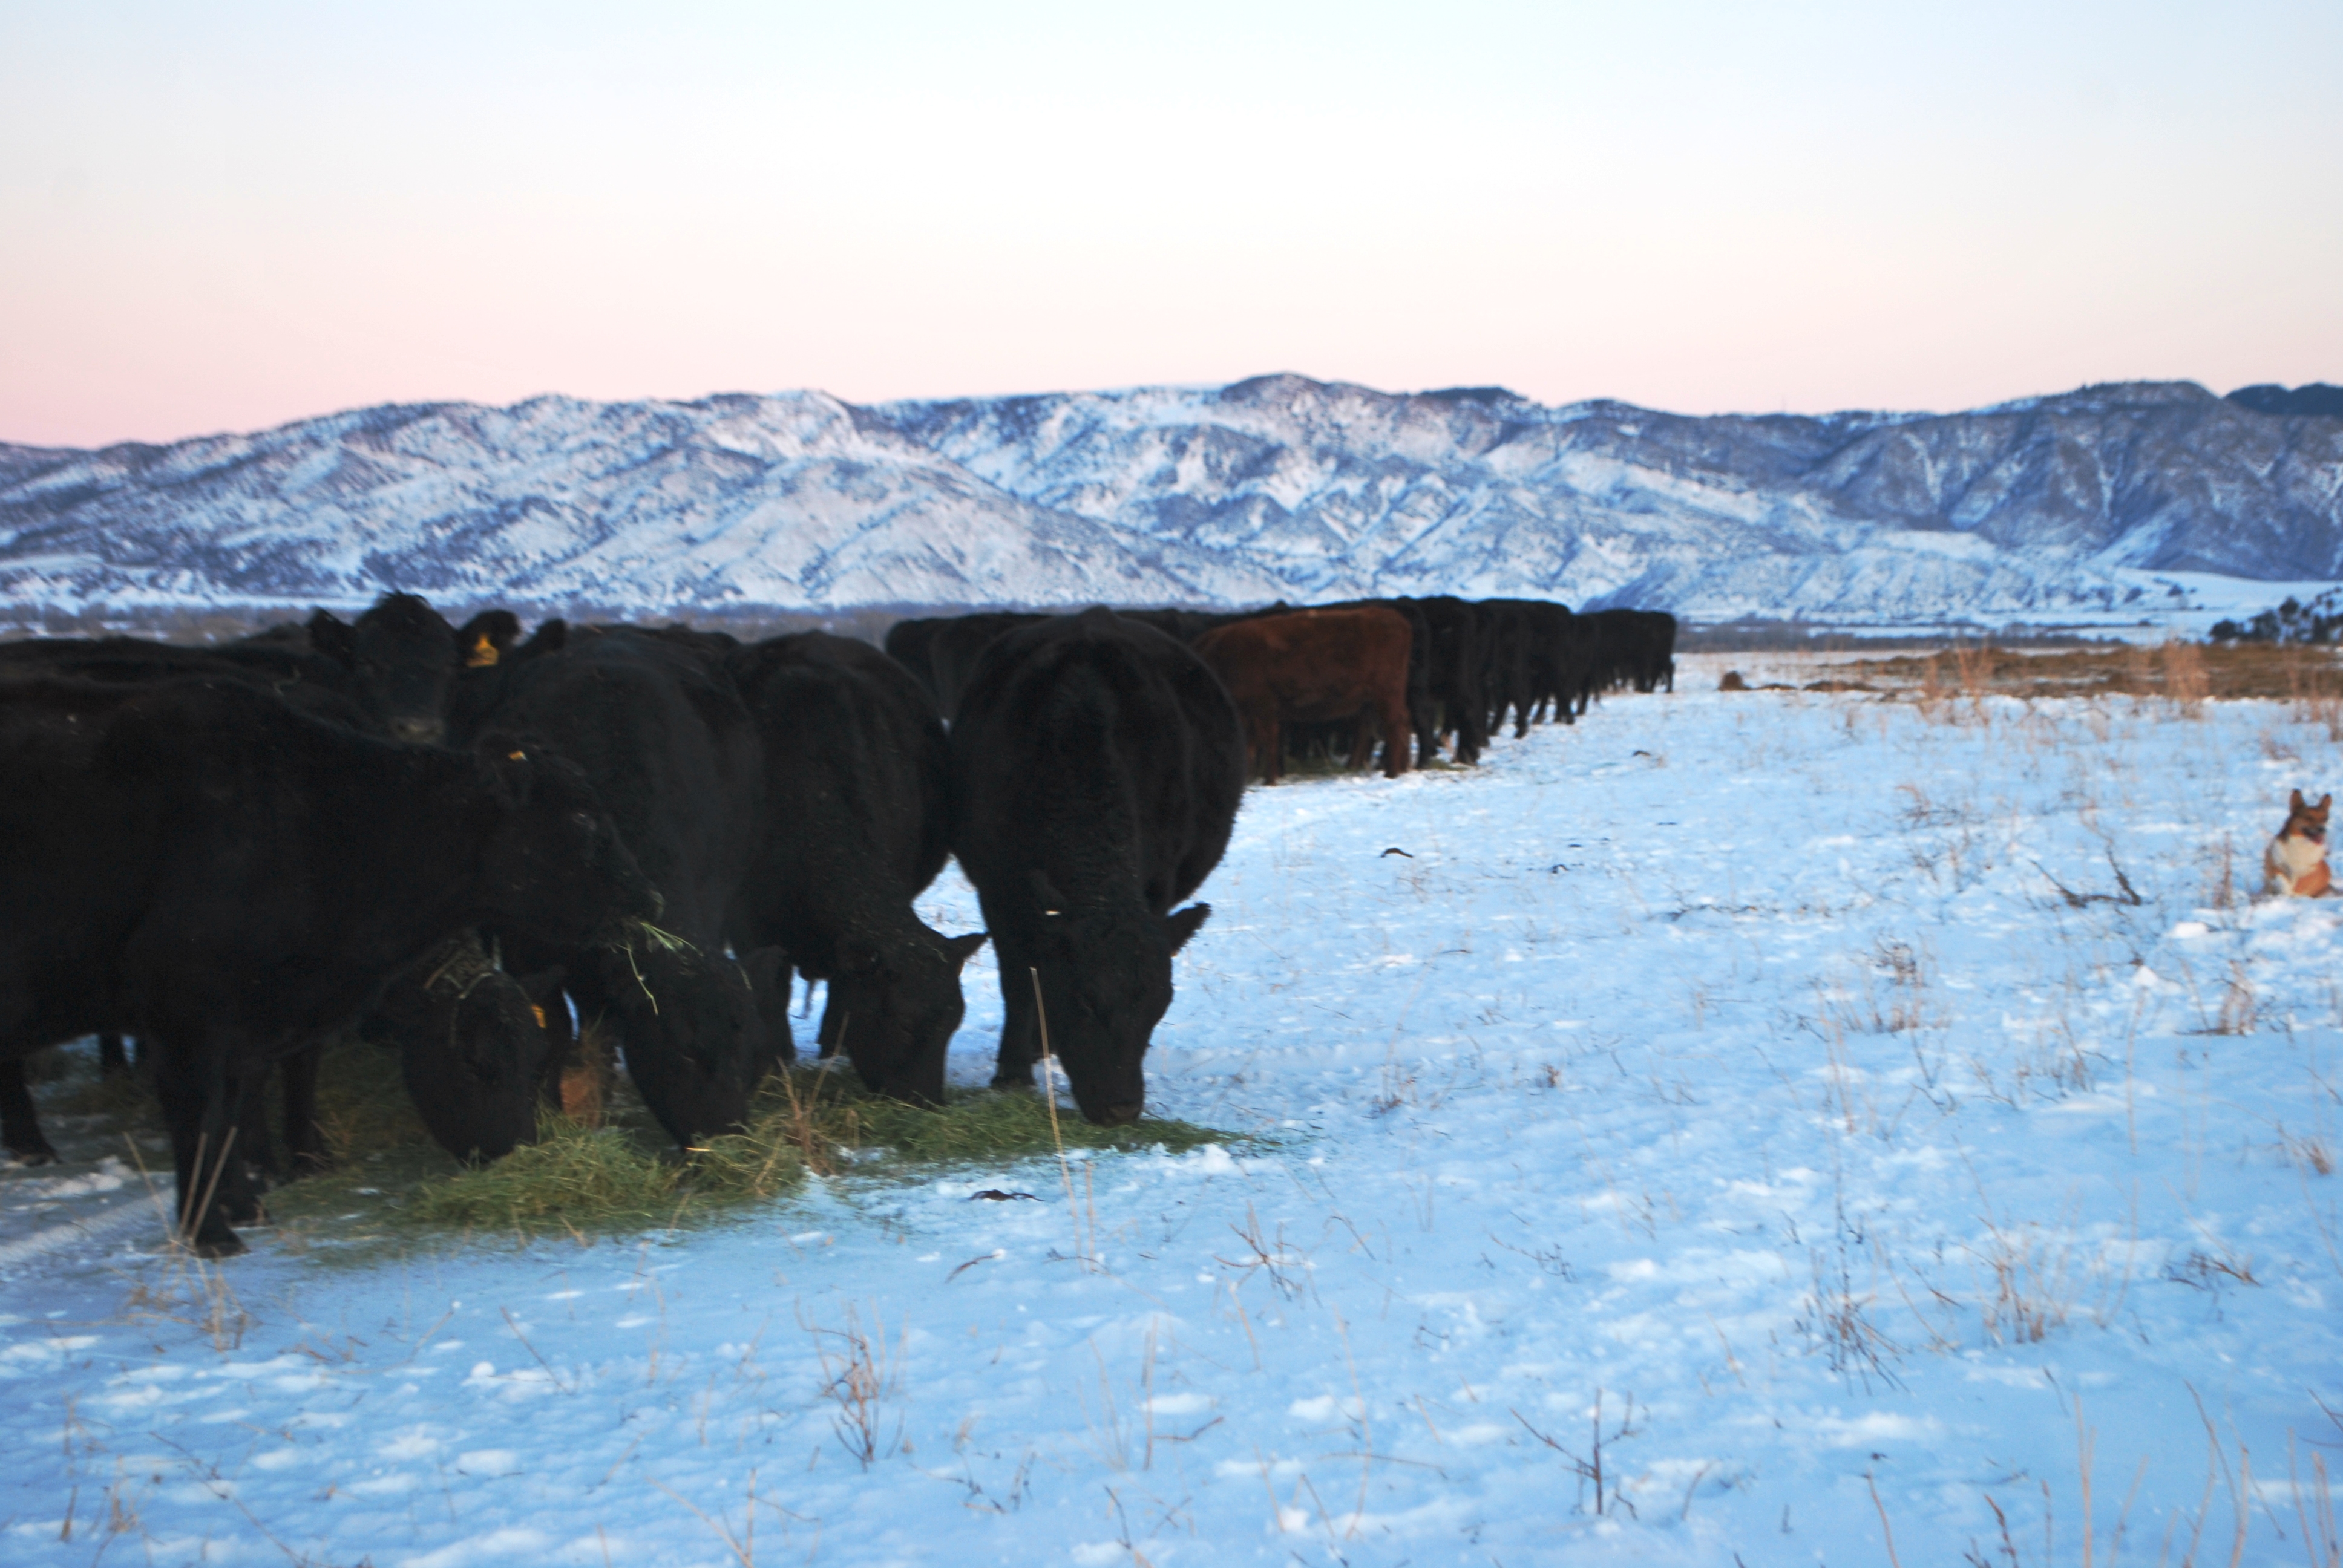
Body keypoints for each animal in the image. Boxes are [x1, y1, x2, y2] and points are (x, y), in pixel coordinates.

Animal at [0, 675, 658, 1254]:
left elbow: (232, 1115)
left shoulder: (248, 1028)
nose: (648, 899)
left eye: (541, 1059)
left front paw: (247, 1204)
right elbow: (201, 1119)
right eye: (582, 821)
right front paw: (212, 1234)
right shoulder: (189, 1016)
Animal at [725, 632, 987, 1104]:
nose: (928, 1102)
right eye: (902, 1021)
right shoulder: (749, 923)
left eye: (954, 1022)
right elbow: (772, 990)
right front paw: (776, 1061)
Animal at [949, 608, 1244, 1125]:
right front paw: (1011, 1074)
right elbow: (1018, 981)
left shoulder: (1156, 885)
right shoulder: (997, 889)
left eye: (1161, 1004)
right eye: (1085, 999)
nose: (1122, 1107)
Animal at [1193, 607, 1415, 785]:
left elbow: (1268, 742)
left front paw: (1269, 780)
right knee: (1399, 724)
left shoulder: (1263, 708)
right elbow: (1252, 745)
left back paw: (1392, 773)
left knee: (1395, 726)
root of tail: (1393, 617)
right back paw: (1400, 769)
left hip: (1386, 694)